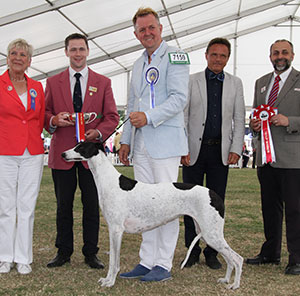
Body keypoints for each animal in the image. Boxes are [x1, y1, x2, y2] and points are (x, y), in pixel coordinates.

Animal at [62, 142, 243, 288]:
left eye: (80, 147)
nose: (63, 154)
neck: (110, 181)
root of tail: (215, 195)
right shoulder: (113, 230)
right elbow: (113, 258)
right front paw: (107, 280)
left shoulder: (116, 231)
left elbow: (114, 262)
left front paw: (110, 282)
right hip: (207, 233)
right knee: (229, 259)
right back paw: (226, 280)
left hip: (211, 234)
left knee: (237, 258)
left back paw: (235, 285)